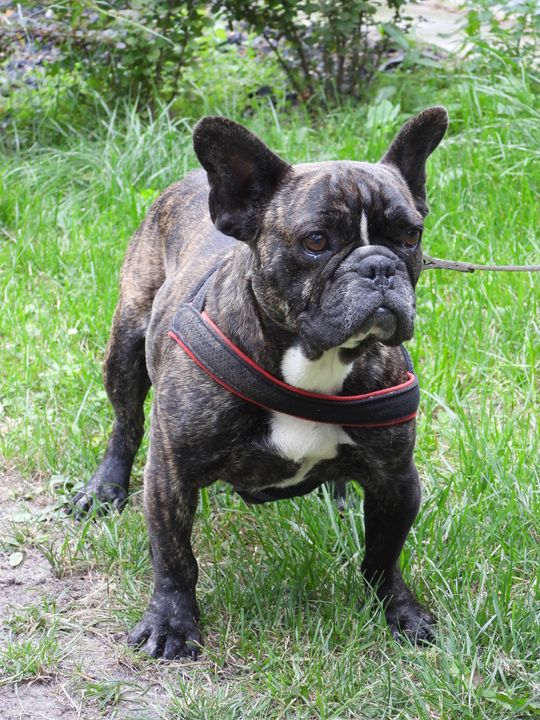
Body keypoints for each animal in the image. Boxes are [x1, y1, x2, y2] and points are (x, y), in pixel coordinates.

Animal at [72, 107, 448, 659]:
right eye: (316, 242)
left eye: (409, 236)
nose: (379, 266)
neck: (314, 361)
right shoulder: (170, 472)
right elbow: (174, 553)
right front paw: (171, 623)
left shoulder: (396, 479)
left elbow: (383, 554)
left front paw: (399, 612)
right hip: (126, 341)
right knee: (126, 423)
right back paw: (103, 490)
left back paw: (338, 494)